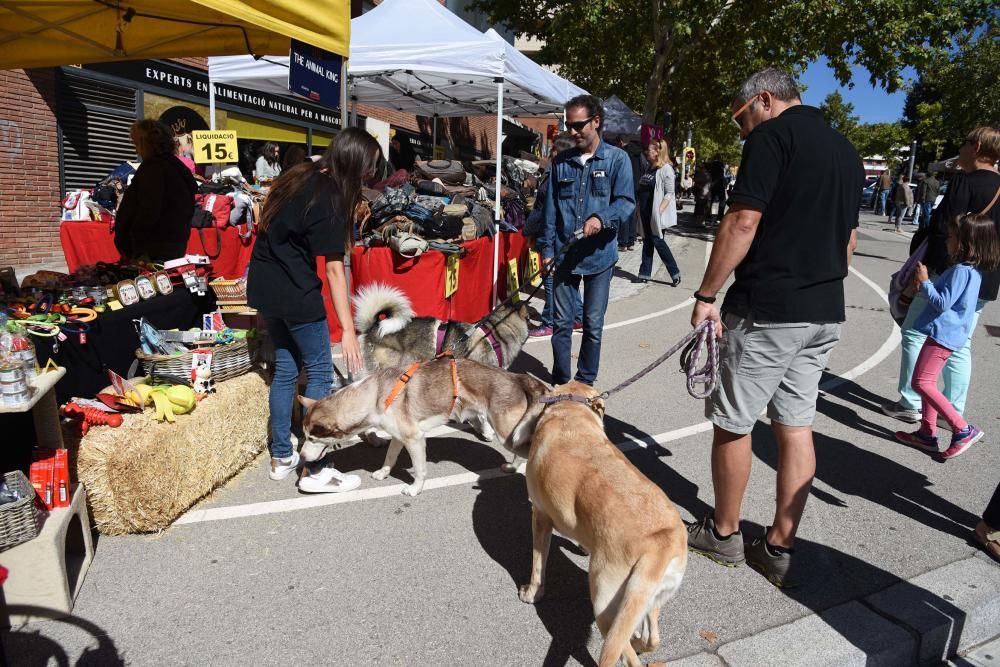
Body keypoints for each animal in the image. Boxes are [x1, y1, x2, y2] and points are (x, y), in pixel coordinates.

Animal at [296, 360, 548, 496]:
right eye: (304, 436)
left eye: (313, 438)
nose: (301, 457)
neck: (375, 395)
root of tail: (516, 377)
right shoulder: (399, 437)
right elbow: (389, 457)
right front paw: (382, 473)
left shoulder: (415, 438)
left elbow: (419, 470)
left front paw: (415, 489)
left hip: (507, 433)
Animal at [508, 380, 688, 667]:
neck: (571, 412)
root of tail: (659, 545)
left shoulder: (540, 515)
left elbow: (537, 563)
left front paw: (532, 592)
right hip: (649, 599)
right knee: (651, 639)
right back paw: (639, 640)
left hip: (605, 604)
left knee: (624, 652)